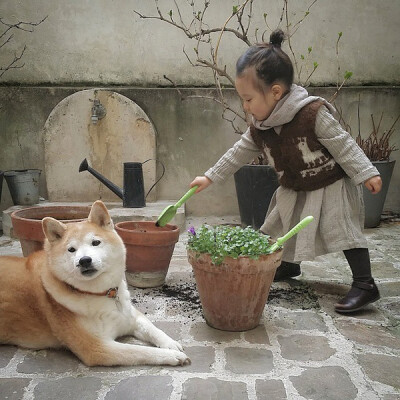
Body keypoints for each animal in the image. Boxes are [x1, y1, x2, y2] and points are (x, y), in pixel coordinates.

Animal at [0, 202, 190, 368]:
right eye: (71, 250)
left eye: (95, 242)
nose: (84, 260)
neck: (103, 294)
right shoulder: (98, 348)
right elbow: (140, 351)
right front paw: (172, 355)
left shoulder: (131, 317)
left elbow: (153, 329)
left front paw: (170, 343)